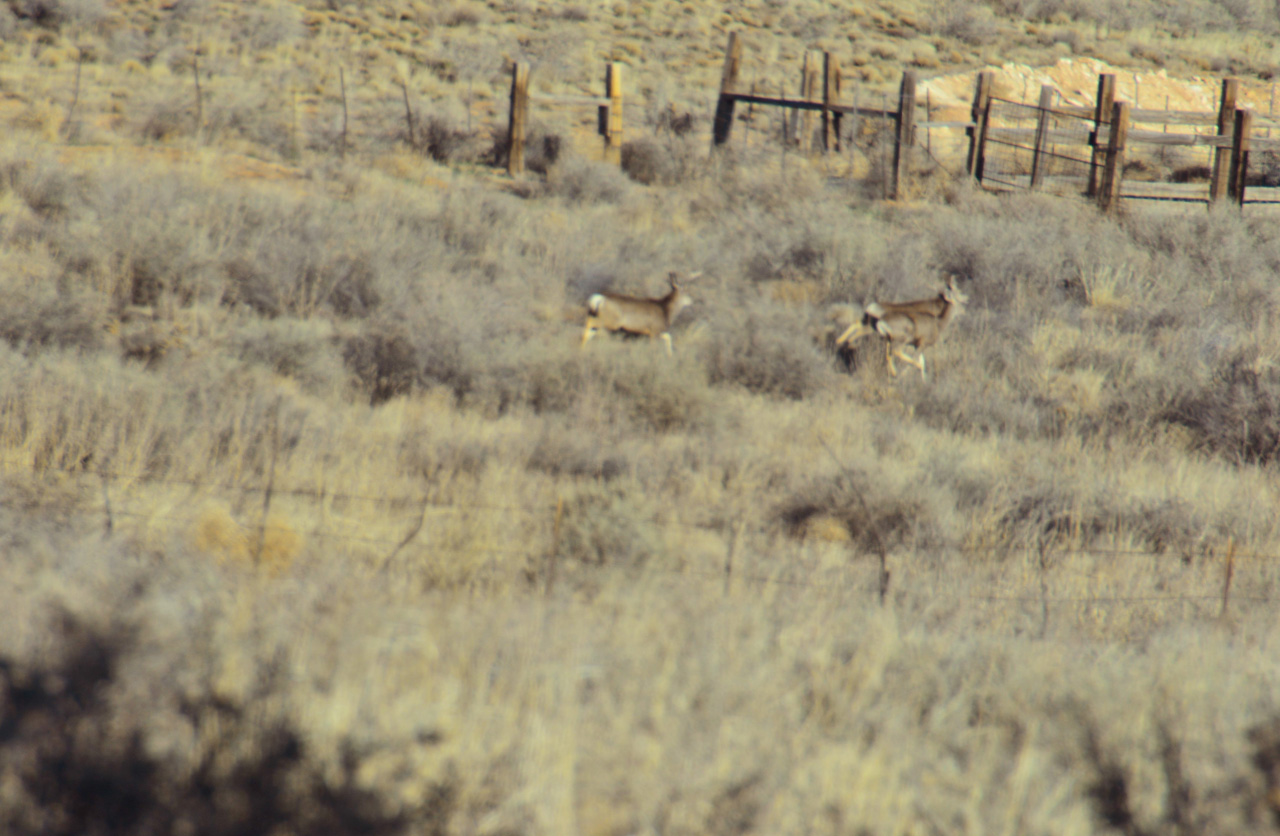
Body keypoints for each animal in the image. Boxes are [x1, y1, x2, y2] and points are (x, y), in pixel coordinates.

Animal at [834, 275, 962, 378]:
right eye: (957, 295)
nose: (964, 303)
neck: (939, 321)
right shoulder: (922, 344)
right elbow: (918, 361)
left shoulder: (917, 345)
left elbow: (922, 362)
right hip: (894, 336)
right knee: (894, 351)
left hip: (882, 334)